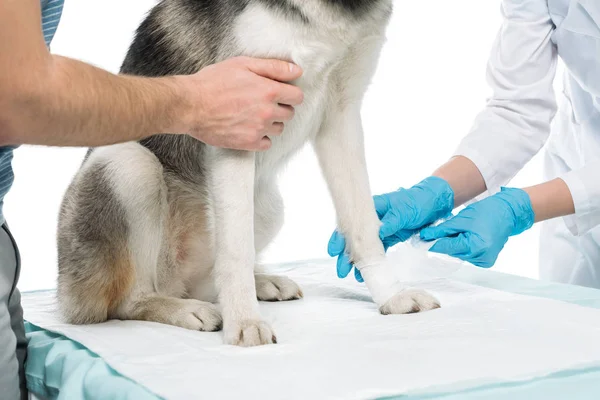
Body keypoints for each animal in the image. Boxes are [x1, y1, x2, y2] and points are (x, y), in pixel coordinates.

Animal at [56, 0, 440, 346]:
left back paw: (262, 283)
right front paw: (244, 322)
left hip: (268, 204)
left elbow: (363, 227)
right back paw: (180, 308)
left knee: (208, 281)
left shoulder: (341, 113)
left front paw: (391, 296)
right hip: (128, 165)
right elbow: (235, 251)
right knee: (130, 299)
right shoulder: (239, 119)